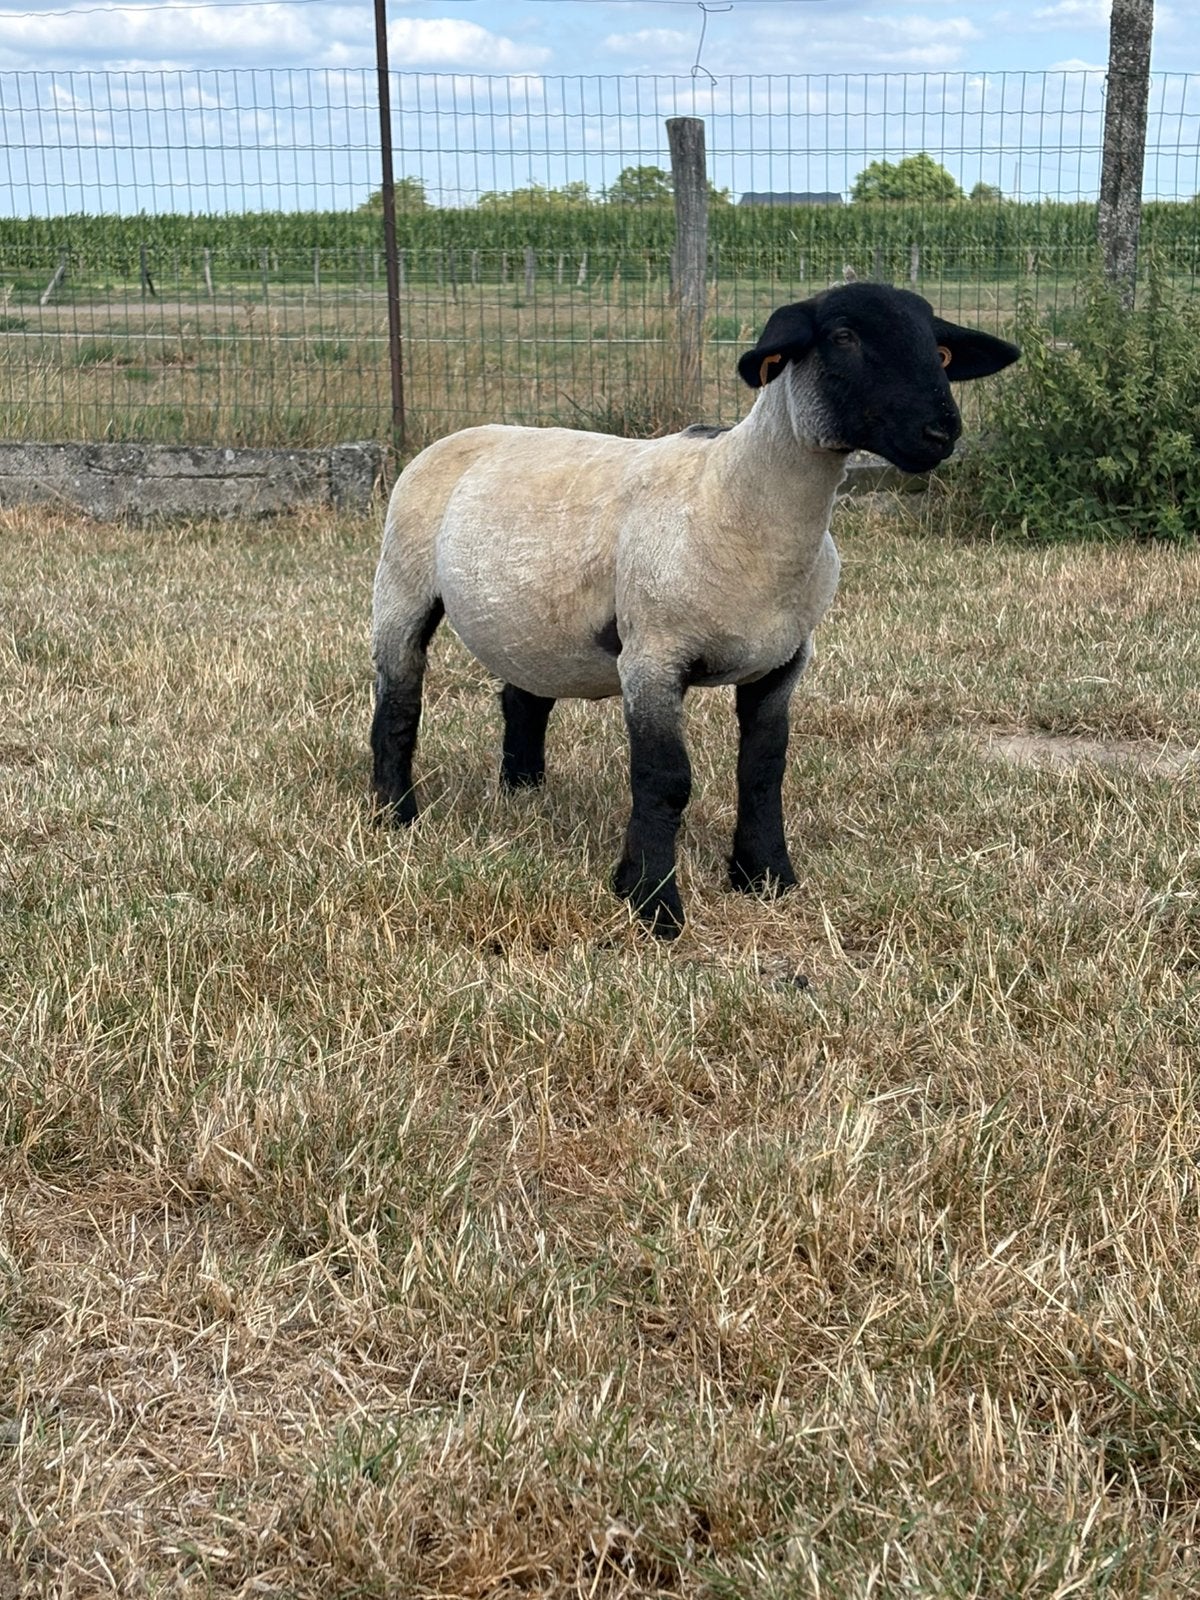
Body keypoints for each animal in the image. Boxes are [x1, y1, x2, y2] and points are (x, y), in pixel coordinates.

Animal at [371, 282, 1019, 938]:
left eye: (940, 349)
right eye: (843, 336)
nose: (942, 431)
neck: (735, 501)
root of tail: (459, 434)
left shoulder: (784, 662)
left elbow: (763, 769)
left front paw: (766, 876)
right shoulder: (652, 657)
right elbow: (664, 780)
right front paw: (651, 901)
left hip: (536, 621)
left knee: (523, 697)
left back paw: (525, 794)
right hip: (400, 581)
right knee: (398, 703)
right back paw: (393, 815)